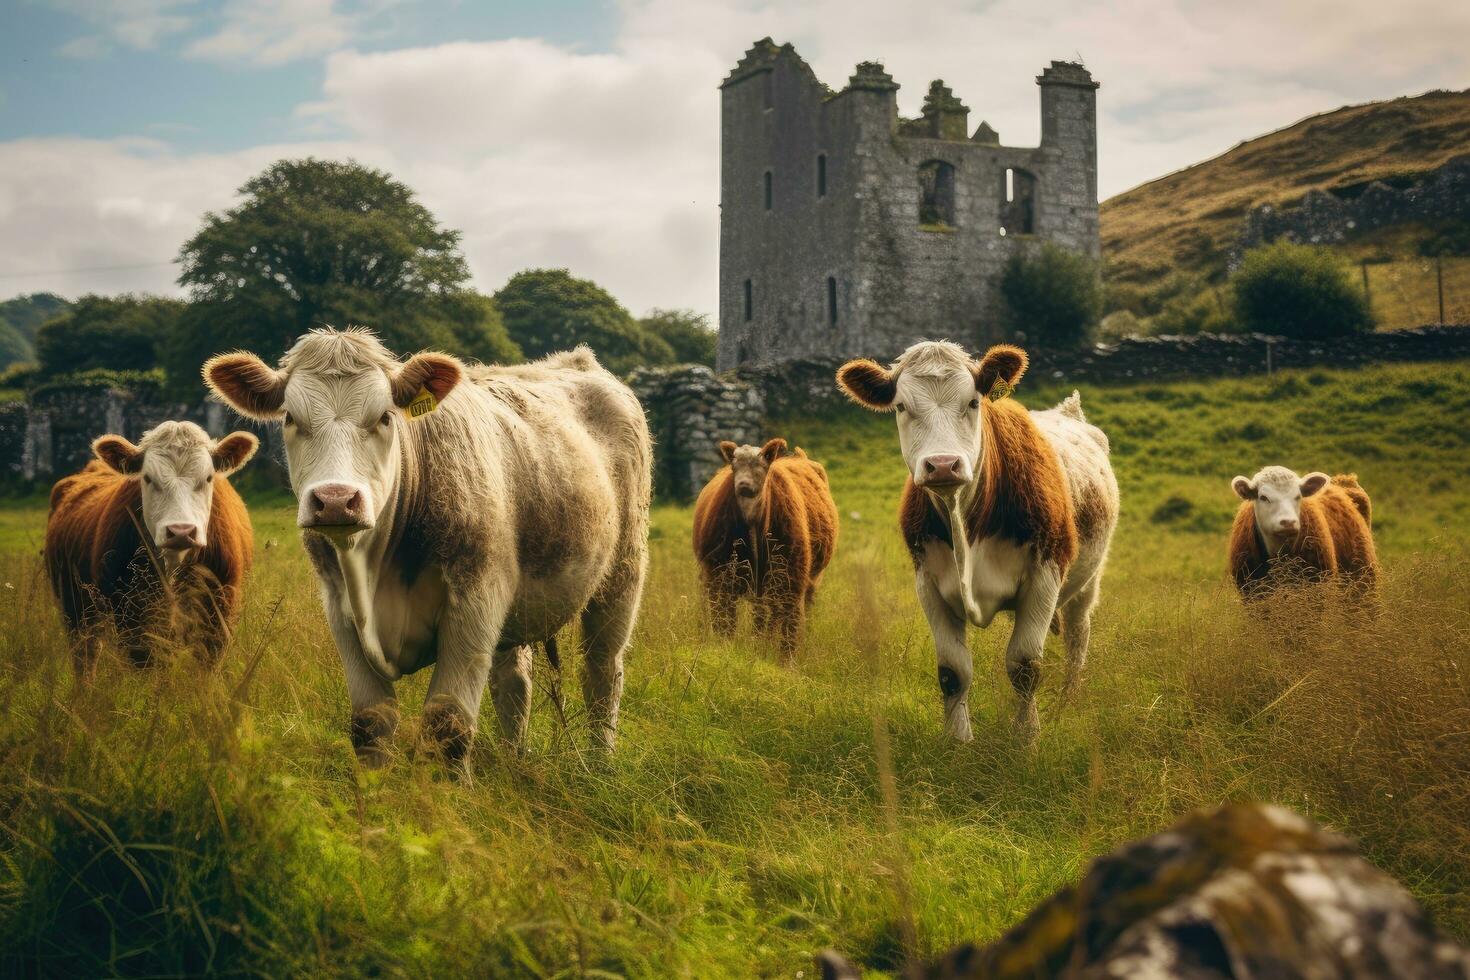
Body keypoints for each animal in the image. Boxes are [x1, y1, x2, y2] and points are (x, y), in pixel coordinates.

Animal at [44, 423, 260, 675]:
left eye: (208, 478)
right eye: (147, 478)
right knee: (86, 657)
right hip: (75, 609)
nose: (181, 531)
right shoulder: (131, 622)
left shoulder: (219, 618)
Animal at [696, 440, 846, 664]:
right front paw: (724, 651)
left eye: (761, 466)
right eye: (734, 465)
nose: (744, 485)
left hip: (808, 581)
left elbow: (790, 629)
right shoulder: (718, 581)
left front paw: (786, 663)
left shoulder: (792, 582)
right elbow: (724, 624)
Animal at [834, 340, 1117, 740]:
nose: (942, 464)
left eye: (972, 402)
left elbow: (1025, 666)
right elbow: (953, 671)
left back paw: (1069, 702)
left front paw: (1026, 738)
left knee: (1078, 637)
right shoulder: (929, 584)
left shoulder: (1044, 577)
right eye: (901, 406)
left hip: (1088, 580)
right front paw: (958, 740)